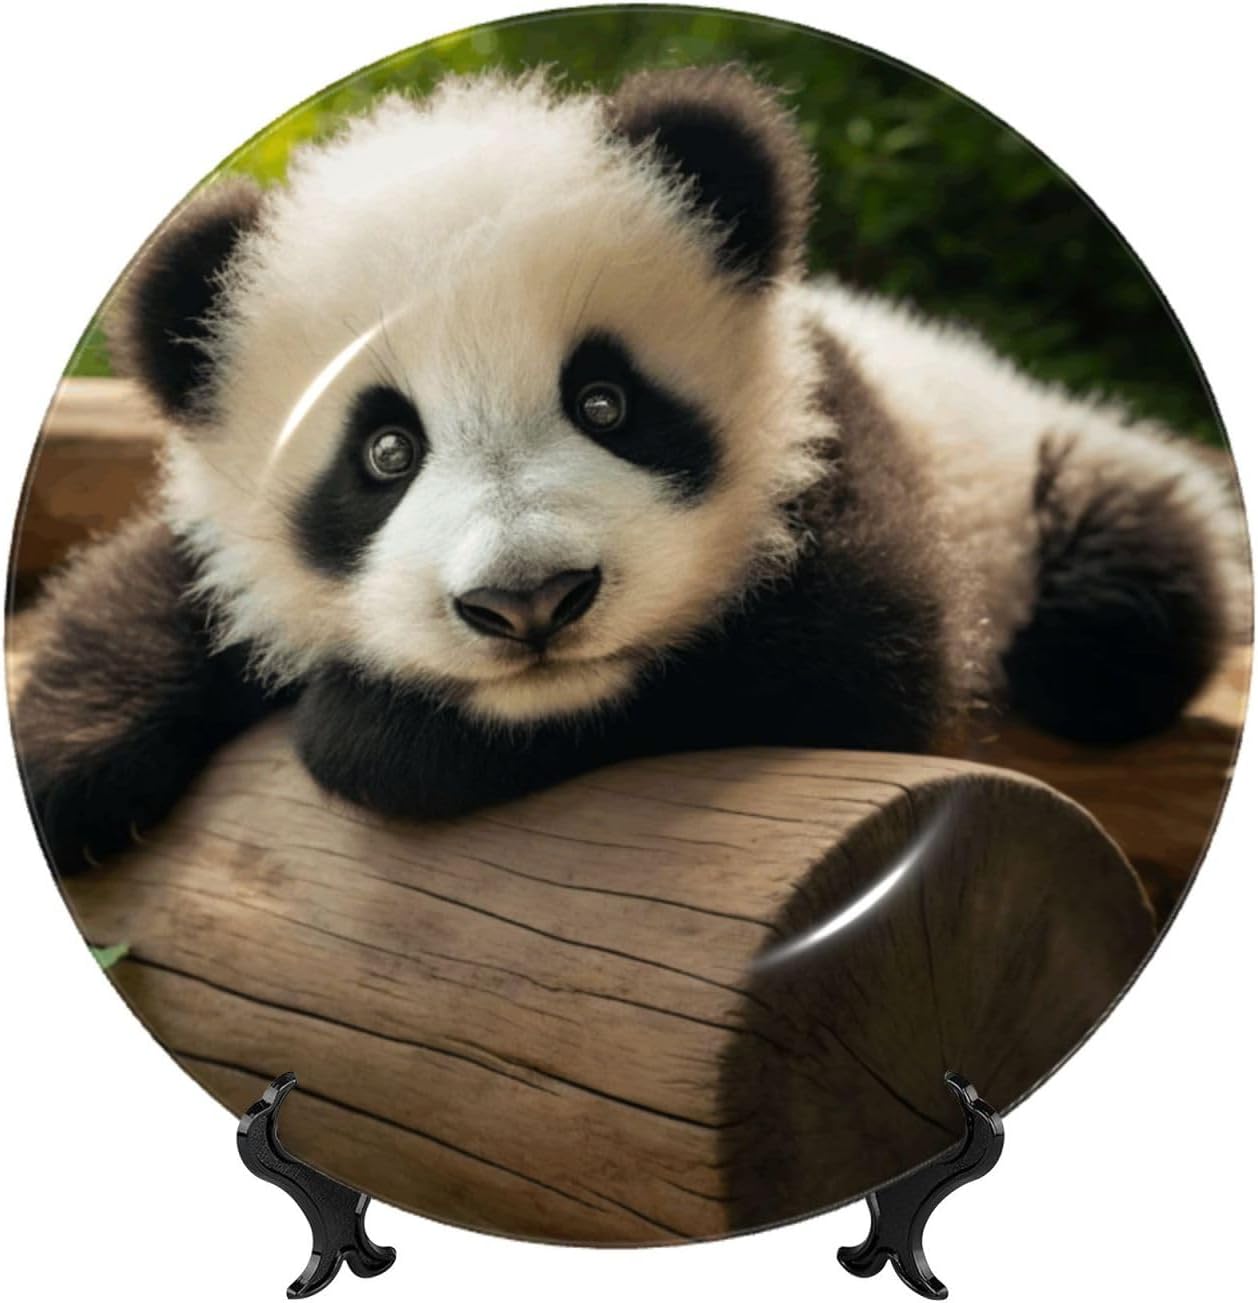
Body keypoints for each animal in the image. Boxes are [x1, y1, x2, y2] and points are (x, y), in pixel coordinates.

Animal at [14, 65, 1248, 876]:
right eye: (384, 451)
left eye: (605, 401)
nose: (529, 602)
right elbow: (162, 578)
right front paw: (70, 764)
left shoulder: (837, 438)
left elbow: (859, 648)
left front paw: (368, 731)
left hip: (1055, 477)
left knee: (1117, 619)